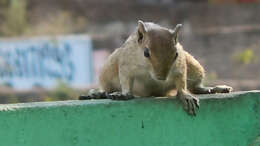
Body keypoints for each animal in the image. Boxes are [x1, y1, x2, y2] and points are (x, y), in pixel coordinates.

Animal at [79, 20, 234, 116]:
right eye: (146, 53)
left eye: (176, 54)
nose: (162, 77)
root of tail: (154, 93)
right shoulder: (125, 63)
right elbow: (125, 80)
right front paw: (124, 94)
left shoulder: (180, 65)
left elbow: (181, 82)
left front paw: (185, 95)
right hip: (108, 69)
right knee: (107, 87)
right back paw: (98, 93)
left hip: (194, 67)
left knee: (196, 86)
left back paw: (214, 88)